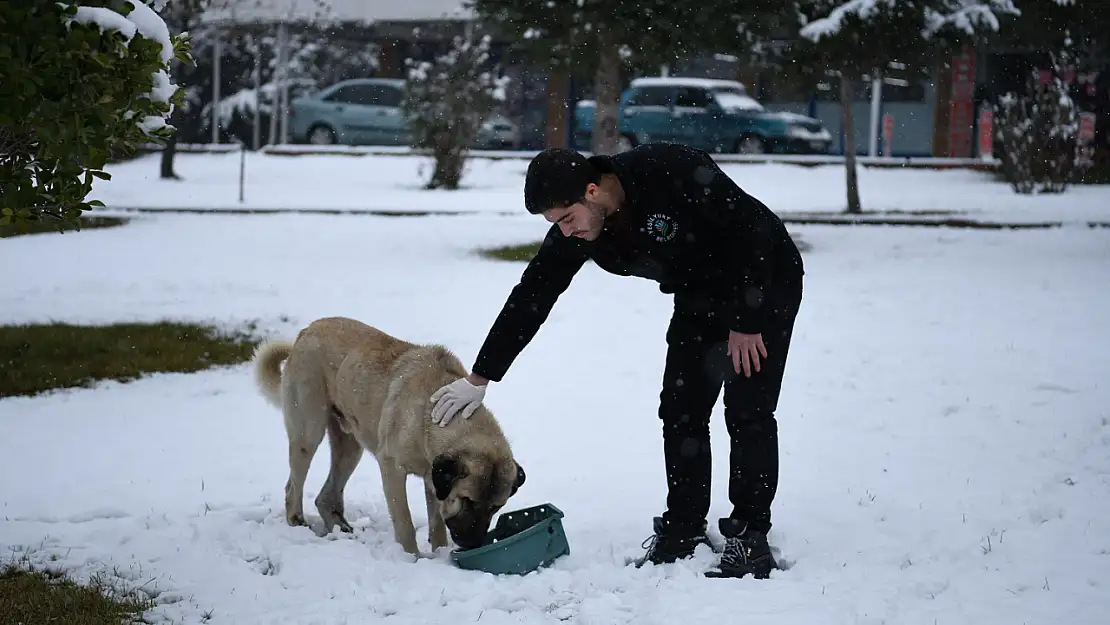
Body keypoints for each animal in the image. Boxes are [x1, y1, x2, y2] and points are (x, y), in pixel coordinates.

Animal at [253, 315, 528, 555]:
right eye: (467, 499)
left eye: (496, 507)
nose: (473, 544)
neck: (428, 414)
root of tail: (306, 331)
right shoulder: (392, 468)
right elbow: (405, 522)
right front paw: (412, 557)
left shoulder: (433, 478)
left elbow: (437, 523)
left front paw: (439, 554)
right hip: (308, 432)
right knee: (292, 488)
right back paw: (298, 523)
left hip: (349, 446)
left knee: (325, 497)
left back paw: (343, 532)